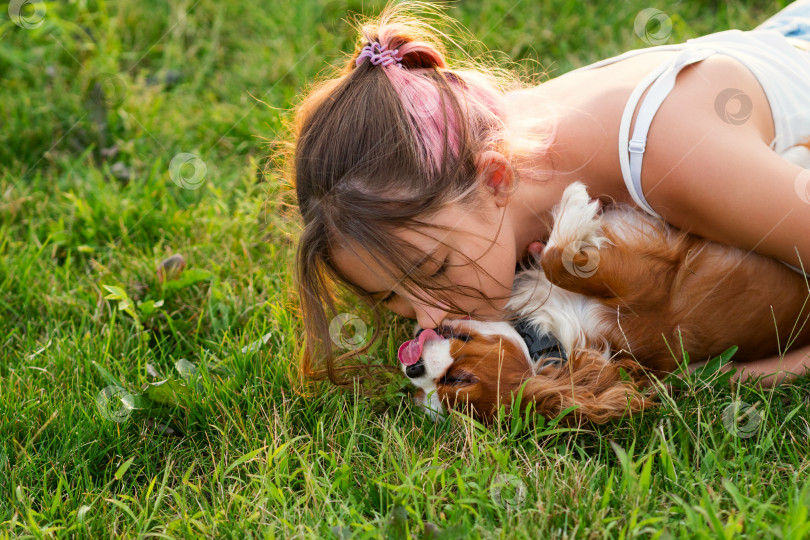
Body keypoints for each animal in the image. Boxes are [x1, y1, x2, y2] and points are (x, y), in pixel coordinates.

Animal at [398, 179, 808, 424]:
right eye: (422, 395)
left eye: (460, 379)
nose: (412, 369)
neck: (553, 338)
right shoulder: (647, 285)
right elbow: (557, 260)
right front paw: (574, 206)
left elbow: (554, 262)